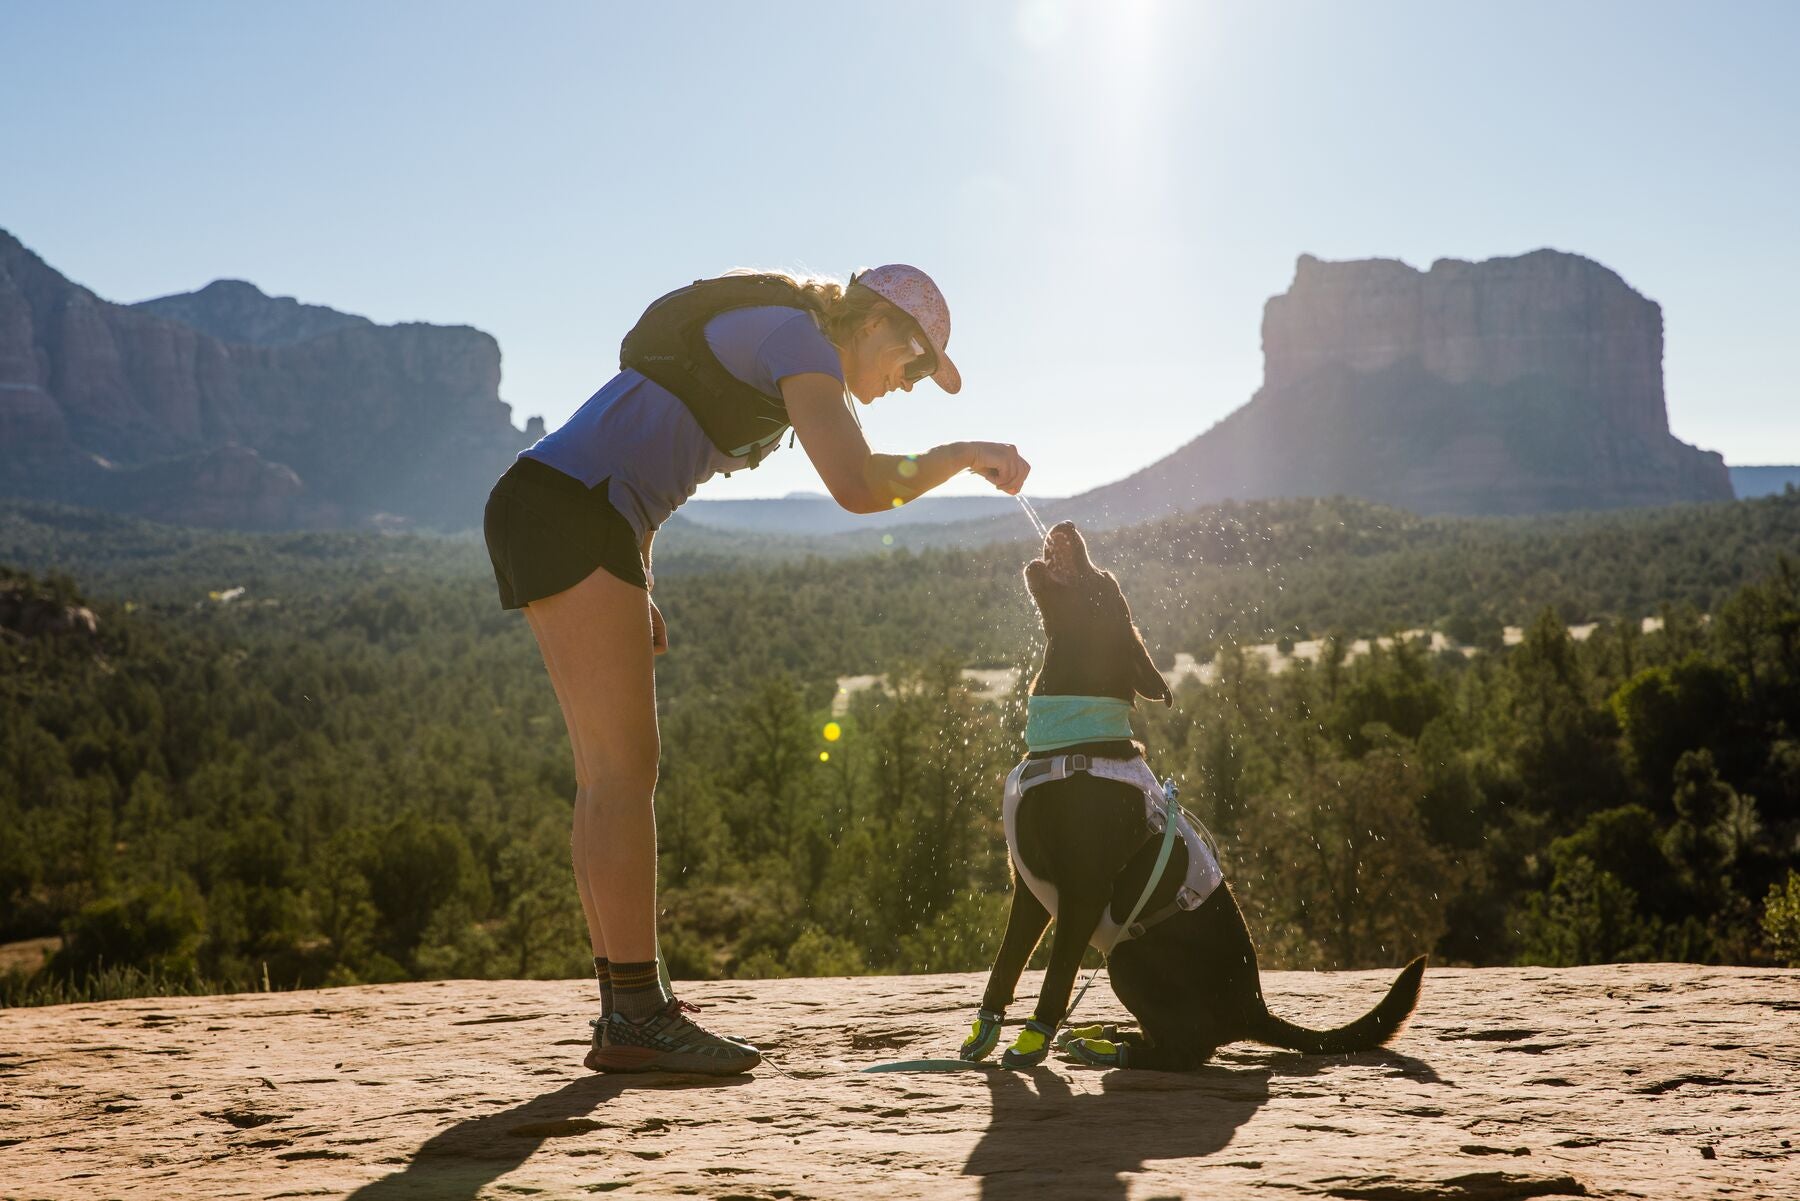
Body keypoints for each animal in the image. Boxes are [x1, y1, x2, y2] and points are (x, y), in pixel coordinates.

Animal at [957, 522, 1418, 1073]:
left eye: (1103, 583)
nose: (1067, 528)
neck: (1070, 739)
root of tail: (1254, 1009)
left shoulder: (1080, 894)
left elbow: (1055, 978)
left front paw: (1032, 1042)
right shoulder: (1028, 889)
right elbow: (1005, 965)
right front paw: (983, 1034)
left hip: (1126, 957)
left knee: (1187, 1049)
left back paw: (1113, 1050)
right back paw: (1108, 1034)